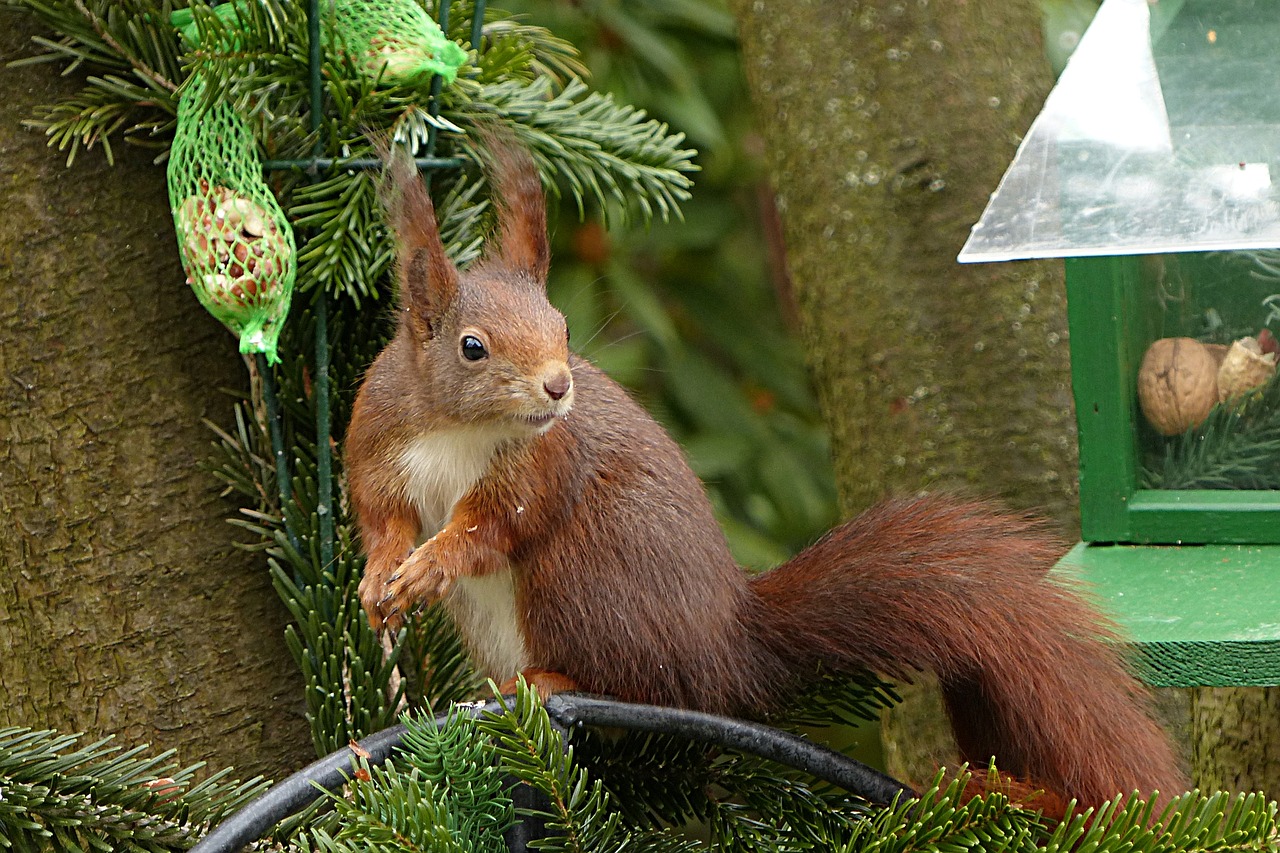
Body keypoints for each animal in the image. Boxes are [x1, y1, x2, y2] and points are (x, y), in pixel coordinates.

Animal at [345, 137, 1182, 804]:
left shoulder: (542, 462)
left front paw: (432, 562)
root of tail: (728, 646)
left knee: (638, 683)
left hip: (582, 582)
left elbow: (492, 524)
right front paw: (382, 577)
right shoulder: (379, 443)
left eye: (563, 326)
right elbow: (383, 517)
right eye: (473, 347)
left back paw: (553, 683)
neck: (462, 427)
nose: (558, 387)